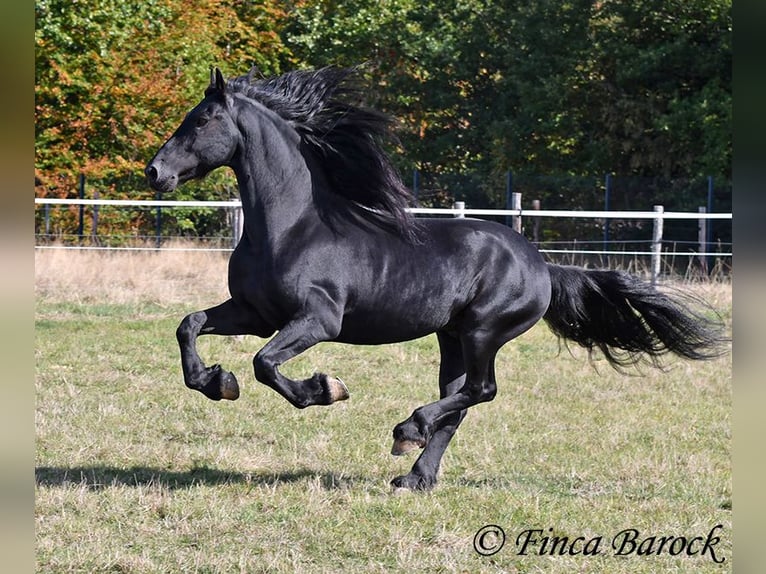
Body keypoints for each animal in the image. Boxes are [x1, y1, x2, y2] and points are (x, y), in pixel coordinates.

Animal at [145, 66, 726, 491]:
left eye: (202, 120)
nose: (155, 172)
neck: (292, 227)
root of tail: (542, 264)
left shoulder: (317, 321)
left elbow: (266, 364)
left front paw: (325, 389)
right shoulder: (253, 313)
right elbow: (189, 324)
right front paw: (216, 382)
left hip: (483, 332)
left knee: (480, 391)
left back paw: (407, 431)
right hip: (452, 338)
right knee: (459, 401)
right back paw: (415, 475)